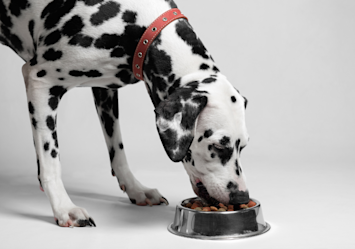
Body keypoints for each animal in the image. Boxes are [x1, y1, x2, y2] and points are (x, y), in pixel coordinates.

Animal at [0, 0, 250, 227]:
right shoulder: (40, 82)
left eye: (243, 147)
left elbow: (117, 150)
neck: (136, 24)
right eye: (217, 146)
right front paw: (64, 207)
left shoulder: (105, 89)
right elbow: (50, 159)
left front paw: (135, 189)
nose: (241, 197)